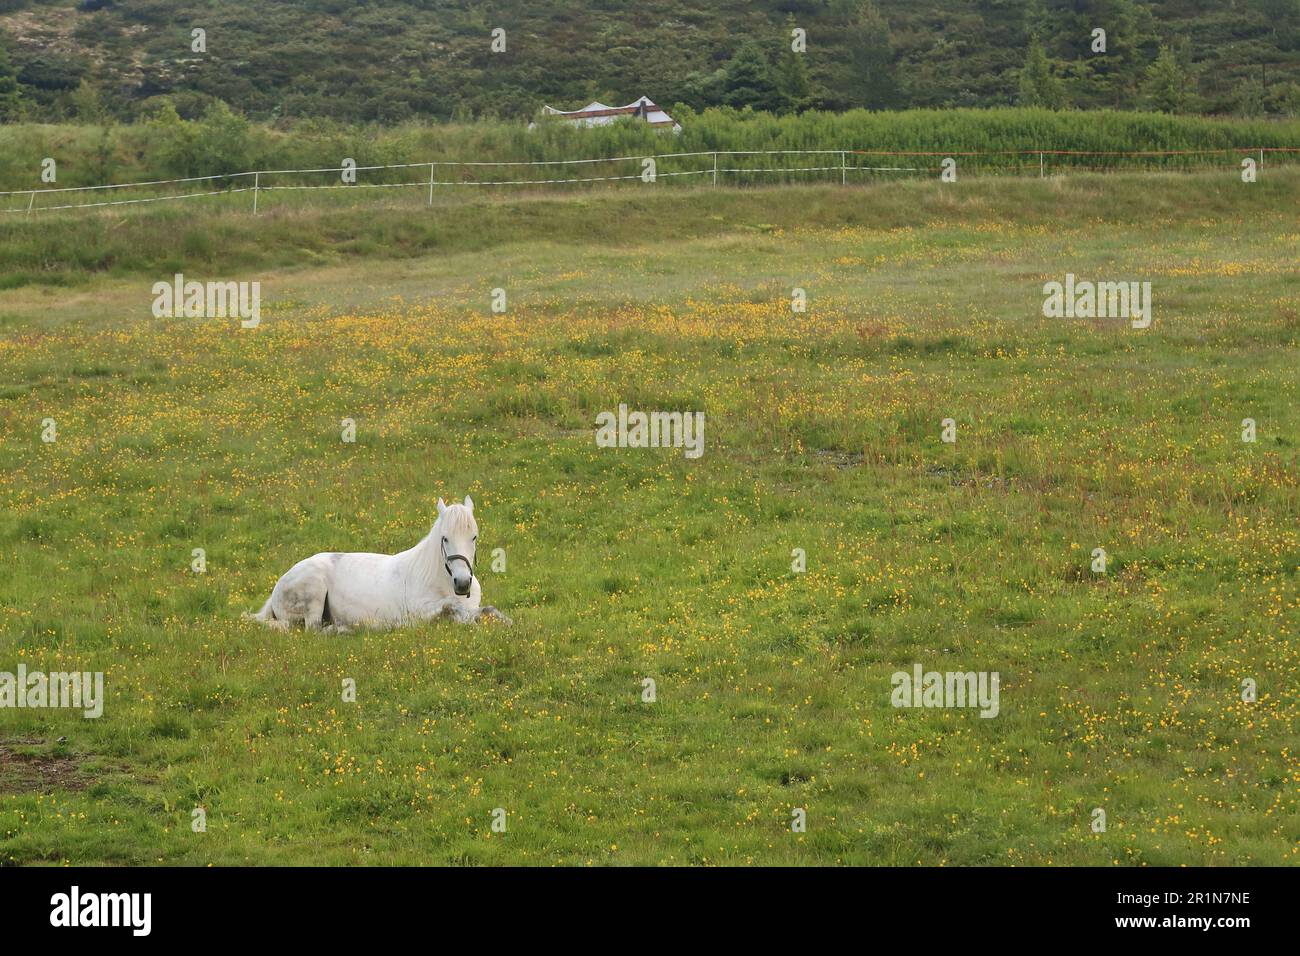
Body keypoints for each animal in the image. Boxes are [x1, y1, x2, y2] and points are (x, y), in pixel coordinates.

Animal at [245, 496, 509, 632]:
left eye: (473, 537)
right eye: (445, 538)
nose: (463, 584)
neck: (438, 580)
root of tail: (278, 587)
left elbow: (488, 609)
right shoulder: (417, 616)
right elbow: (452, 608)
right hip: (314, 591)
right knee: (313, 629)